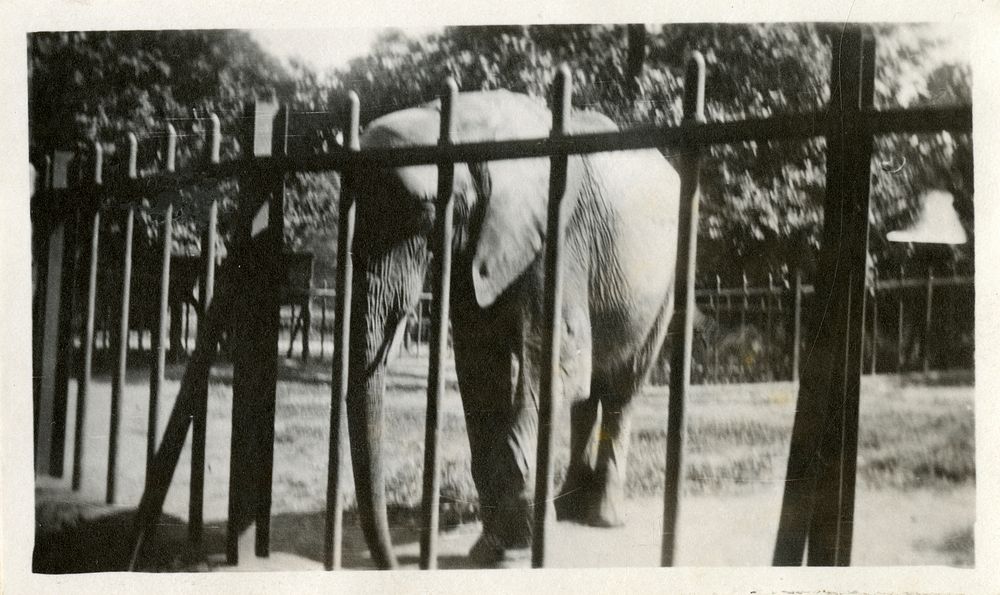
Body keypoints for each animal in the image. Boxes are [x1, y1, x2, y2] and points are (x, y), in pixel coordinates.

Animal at [344, 88, 680, 568]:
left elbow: (557, 361)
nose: (389, 564)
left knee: (621, 389)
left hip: (666, 285)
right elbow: (481, 367)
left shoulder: (559, 235)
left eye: (426, 217)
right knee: (588, 394)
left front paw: (515, 547)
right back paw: (567, 510)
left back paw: (601, 518)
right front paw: (492, 547)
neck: (467, 129)